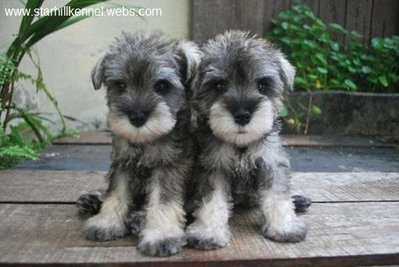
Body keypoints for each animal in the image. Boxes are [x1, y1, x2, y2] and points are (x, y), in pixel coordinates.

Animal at [77, 31, 202, 258]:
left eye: (162, 85)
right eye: (121, 85)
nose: (136, 117)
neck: (144, 142)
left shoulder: (169, 165)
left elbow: (163, 201)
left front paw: (161, 235)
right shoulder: (121, 162)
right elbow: (116, 192)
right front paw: (107, 222)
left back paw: (139, 218)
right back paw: (92, 198)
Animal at [186, 31, 308, 251]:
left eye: (262, 85)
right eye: (219, 85)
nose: (242, 115)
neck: (241, 145)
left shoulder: (270, 162)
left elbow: (277, 195)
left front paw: (284, 227)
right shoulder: (214, 166)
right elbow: (212, 201)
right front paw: (207, 232)